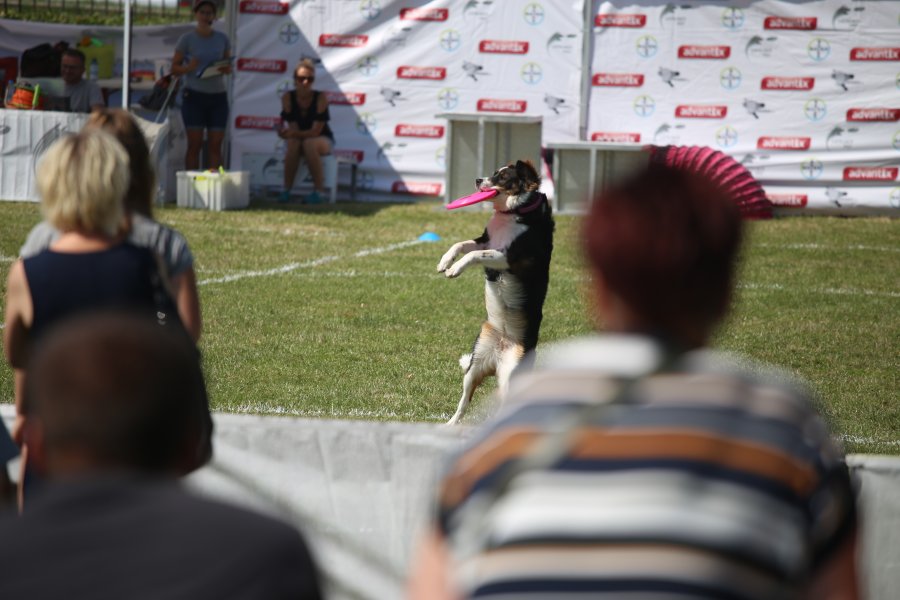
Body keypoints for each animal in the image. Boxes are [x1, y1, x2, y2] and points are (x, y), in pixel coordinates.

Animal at [438, 159, 556, 426]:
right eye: (493, 173)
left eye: (503, 178)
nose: (477, 180)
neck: (512, 213)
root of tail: (500, 353)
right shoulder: (486, 240)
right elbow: (461, 245)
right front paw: (444, 263)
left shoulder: (509, 258)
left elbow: (473, 254)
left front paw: (455, 269)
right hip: (474, 365)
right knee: (464, 403)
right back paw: (449, 425)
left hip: (511, 376)